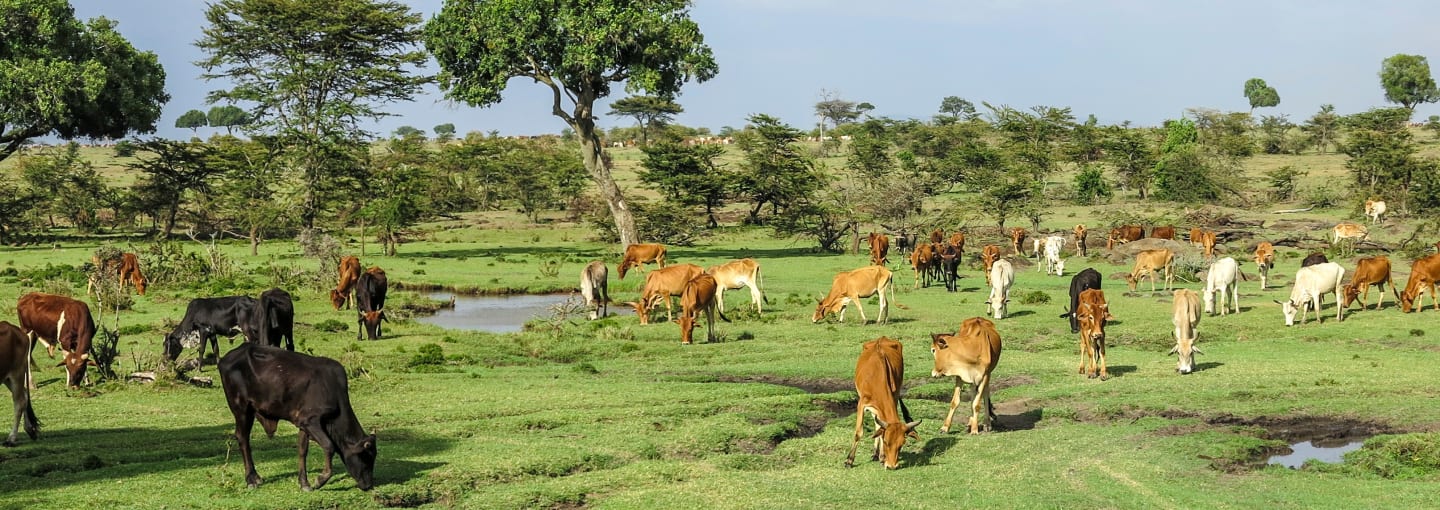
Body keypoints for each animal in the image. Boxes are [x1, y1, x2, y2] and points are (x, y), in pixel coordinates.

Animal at [218, 342, 377, 489]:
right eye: (365, 457)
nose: (368, 485)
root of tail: (226, 357)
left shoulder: (303, 422)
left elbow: (302, 450)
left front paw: (304, 483)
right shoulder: (311, 421)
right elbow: (329, 446)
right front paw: (320, 480)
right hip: (241, 409)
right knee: (243, 438)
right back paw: (251, 479)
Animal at [840, 337, 921, 466]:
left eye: (902, 444)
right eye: (886, 441)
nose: (892, 465)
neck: (877, 378)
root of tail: (882, 338)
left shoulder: (892, 398)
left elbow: (880, 428)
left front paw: (882, 457)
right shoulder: (862, 403)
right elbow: (859, 432)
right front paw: (849, 460)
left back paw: (876, 454)